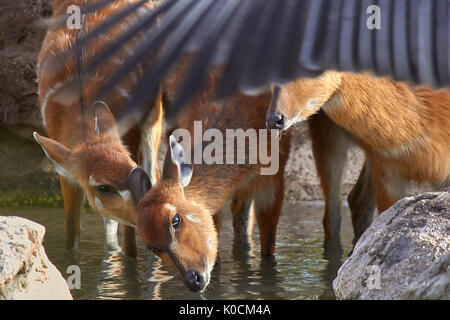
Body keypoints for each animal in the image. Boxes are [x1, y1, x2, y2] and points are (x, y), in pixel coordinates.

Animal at [34, 0, 163, 255]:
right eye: (102, 187)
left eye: (133, 170)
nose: (149, 217)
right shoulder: (64, 165)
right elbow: (72, 237)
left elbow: (130, 244)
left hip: (155, 107)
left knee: (156, 170)